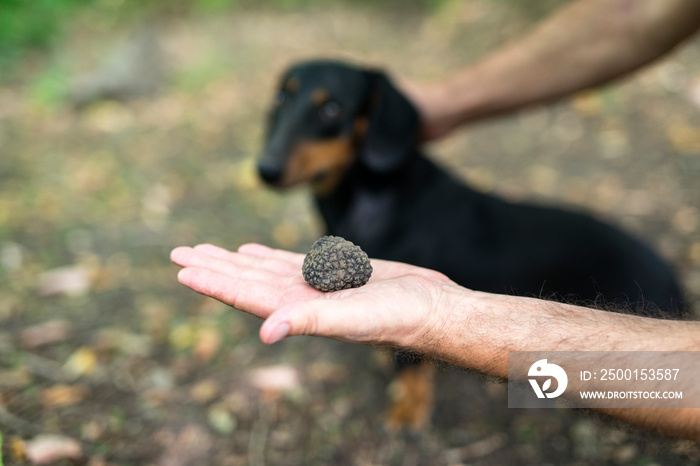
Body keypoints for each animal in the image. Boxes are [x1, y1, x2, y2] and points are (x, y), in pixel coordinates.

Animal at [256, 60, 684, 432]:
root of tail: (673, 277)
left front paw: (408, 408)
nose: (265, 170)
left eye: (331, 109)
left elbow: (409, 365)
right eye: (279, 98)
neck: (372, 195)